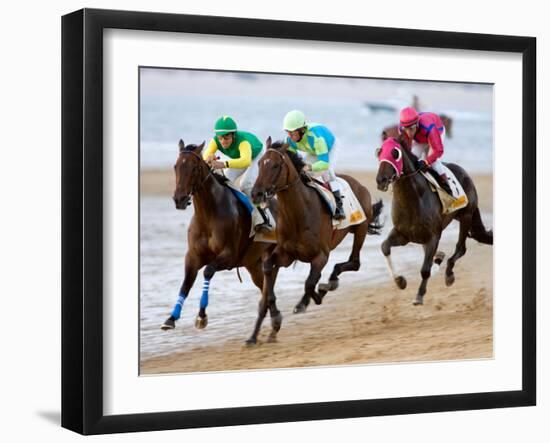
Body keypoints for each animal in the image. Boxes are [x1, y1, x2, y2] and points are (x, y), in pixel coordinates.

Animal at [161, 140, 284, 346]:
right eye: (176, 166)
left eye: (194, 167)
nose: (179, 199)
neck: (208, 215)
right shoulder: (192, 257)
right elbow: (186, 283)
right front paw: (171, 319)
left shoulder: (228, 255)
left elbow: (208, 271)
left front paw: (201, 316)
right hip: (253, 264)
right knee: (266, 288)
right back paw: (275, 323)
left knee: (269, 286)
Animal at [250, 139, 384, 344]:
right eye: (259, 164)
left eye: (275, 165)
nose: (256, 193)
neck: (299, 213)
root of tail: (359, 184)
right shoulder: (286, 255)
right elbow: (269, 268)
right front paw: (276, 315)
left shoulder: (321, 255)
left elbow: (309, 283)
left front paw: (313, 298)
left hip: (360, 228)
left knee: (354, 262)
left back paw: (328, 285)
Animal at [378, 136, 494, 306]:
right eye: (379, 151)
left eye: (395, 153)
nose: (381, 180)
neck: (413, 199)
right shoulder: (402, 234)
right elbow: (385, 247)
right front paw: (400, 281)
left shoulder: (433, 237)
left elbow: (425, 270)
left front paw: (419, 295)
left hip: (466, 215)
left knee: (461, 248)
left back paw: (449, 273)